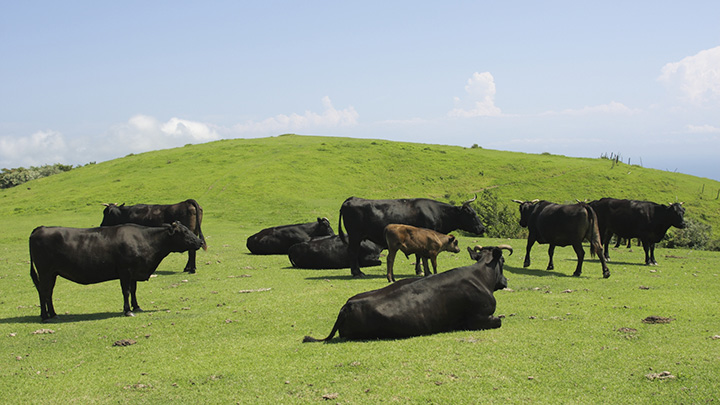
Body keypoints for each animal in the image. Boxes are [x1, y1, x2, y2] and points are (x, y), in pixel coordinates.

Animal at [28, 221, 202, 322]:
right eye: (184, 232)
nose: (200, 241)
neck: (145, 240)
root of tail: (40, 228)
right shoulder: (125, 271)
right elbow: (126, 291)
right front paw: (128, 311)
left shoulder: (133, 273)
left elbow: (134, 290)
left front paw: (136, 307)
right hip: (44, 271)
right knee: (43, 291)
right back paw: (45, 316)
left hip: (52, 273)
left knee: (48, 292)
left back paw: (53, 314)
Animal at [302, 243, 512, 340]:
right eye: (503, 261)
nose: (506, 280)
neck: (481, 276)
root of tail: (348, 305)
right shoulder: (478, 318)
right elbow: (498, 321)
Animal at [336, 195, 484, 276]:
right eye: (471, 214)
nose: (482, 228)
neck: (436, 212)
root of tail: (351, 199)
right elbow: (419, 255)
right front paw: (420, 270)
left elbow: (419, 255)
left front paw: (419, 270)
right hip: (355, 236)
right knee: (352, 251)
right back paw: (357, 272)